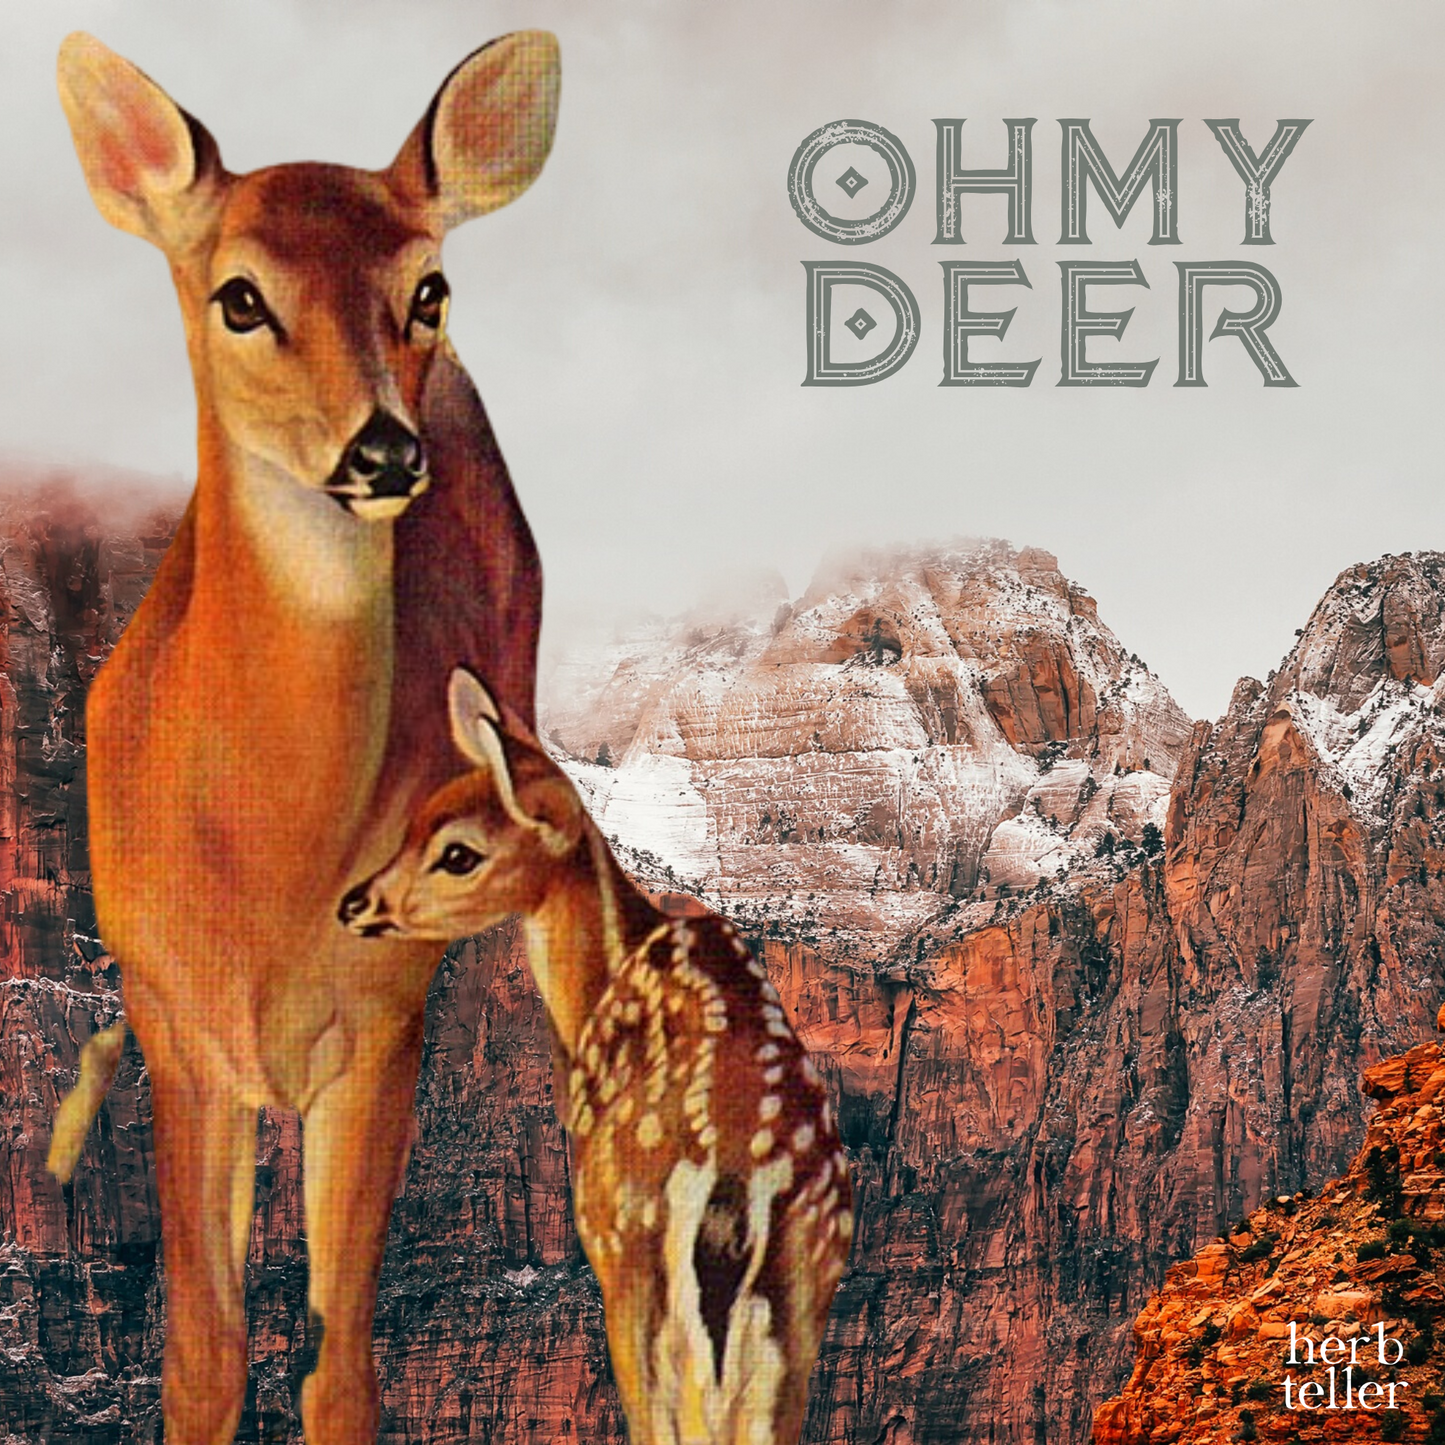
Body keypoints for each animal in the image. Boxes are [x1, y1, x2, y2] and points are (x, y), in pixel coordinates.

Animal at [52, 32, 558, 1445]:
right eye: (239, 295)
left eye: (426, 284)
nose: (384, 449)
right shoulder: (171, 1018)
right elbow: (204, 1350)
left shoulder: (385, 1022)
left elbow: (339, 1362)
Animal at [338, 667, 855, 1445]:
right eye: (416, 818)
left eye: (458, 852)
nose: (354, 903)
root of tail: (739, 1194)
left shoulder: (597, 1231)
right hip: (796, 1307)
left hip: (633, 1265)